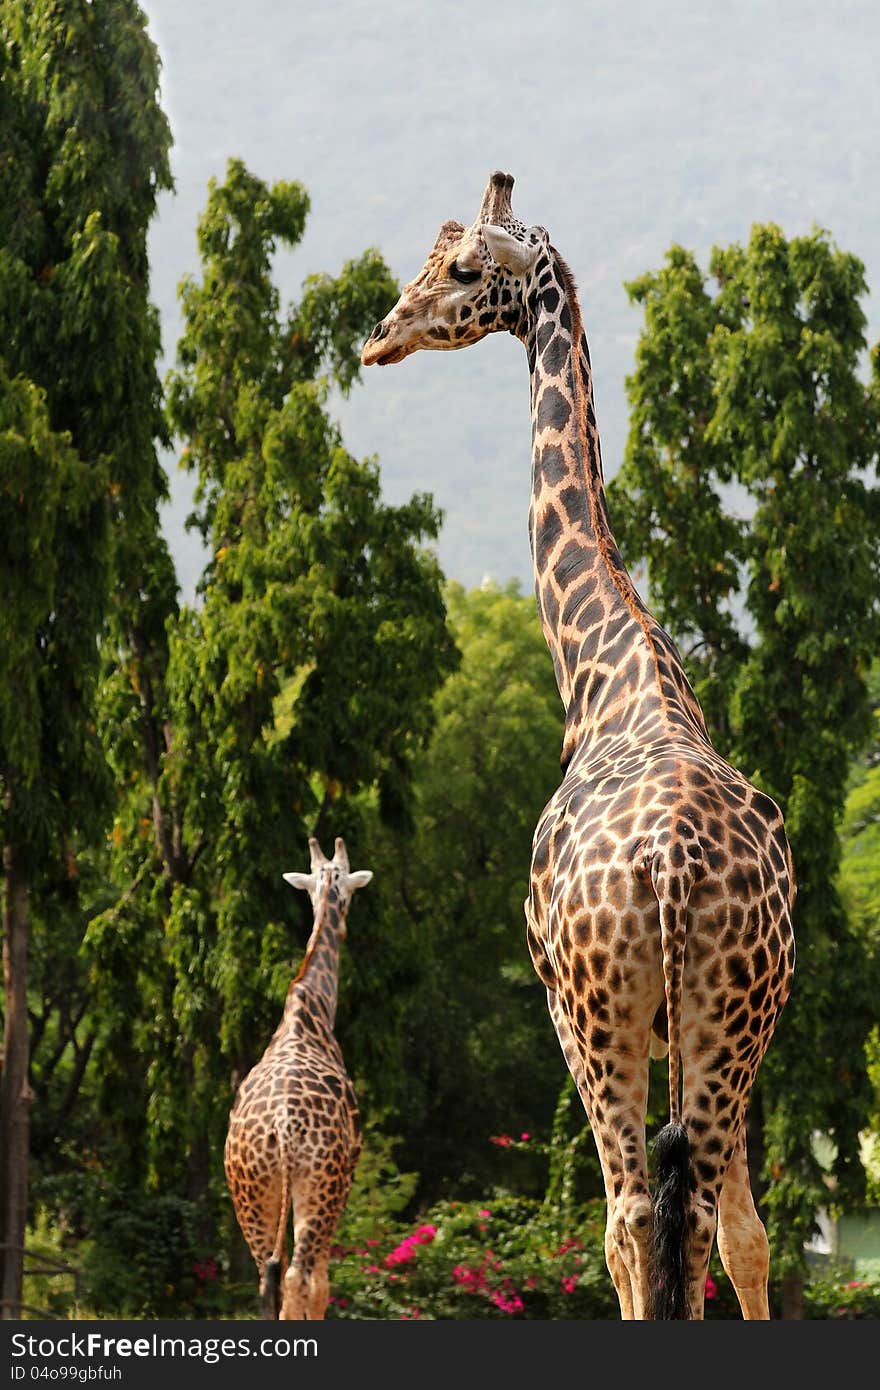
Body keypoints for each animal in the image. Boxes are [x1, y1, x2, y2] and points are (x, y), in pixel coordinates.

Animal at [222, 828, 369, 1317]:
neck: (312, 1010)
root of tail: (283, 1129)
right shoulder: (344, 1179)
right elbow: (321, 1283)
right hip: (318, 1183)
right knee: (298, 1277)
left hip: (252, 1191)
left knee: (269, 1277)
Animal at [355, 168, 795, 1317]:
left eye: (465, 269)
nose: (378, 338)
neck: (607, 671)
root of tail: (673, 866)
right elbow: (744, 1235)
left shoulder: (559, 1004)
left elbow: (632, 1228)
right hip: (729, 1016)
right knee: (706, 1215)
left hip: (603, 1018)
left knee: (632, 1215)